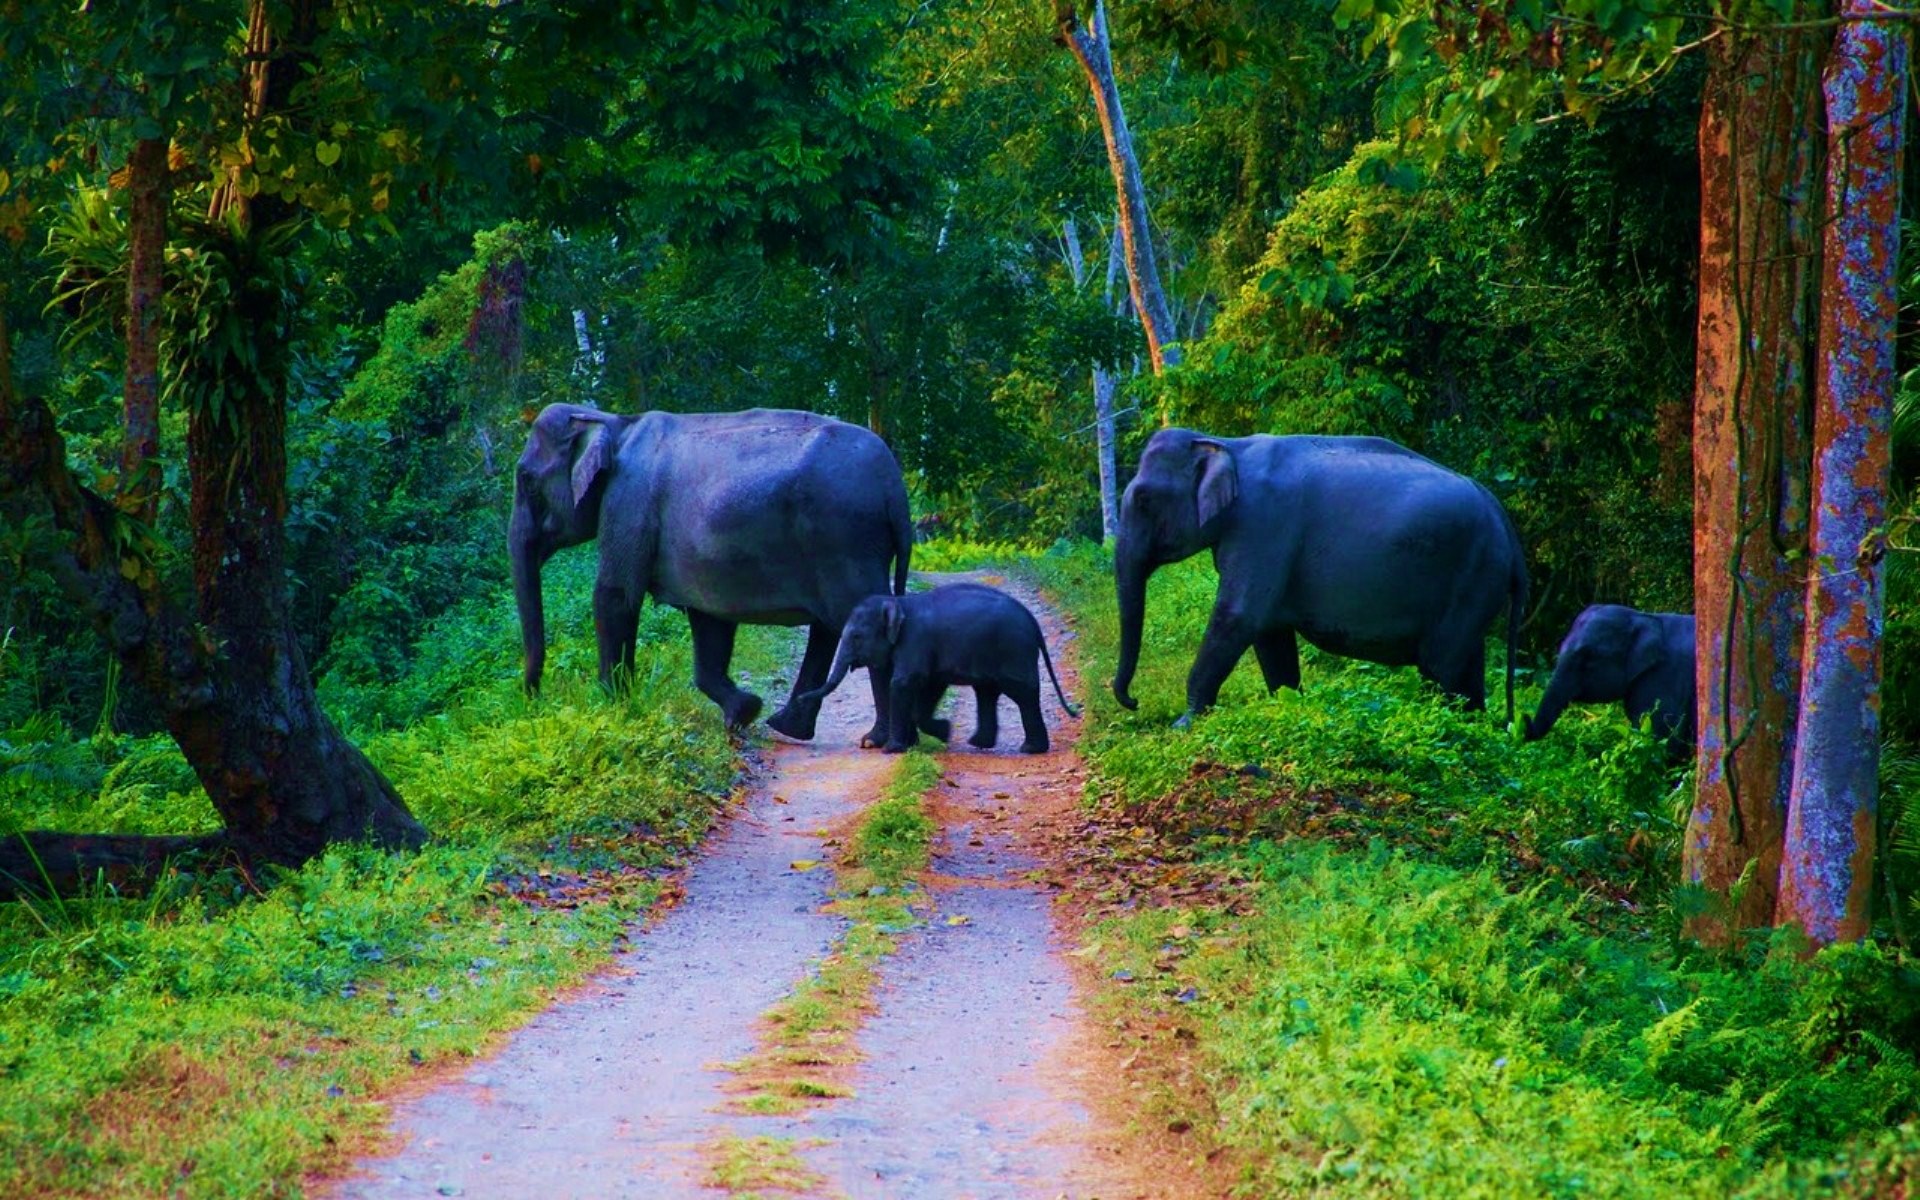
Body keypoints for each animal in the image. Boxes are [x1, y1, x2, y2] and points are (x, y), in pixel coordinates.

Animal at [503, 403, 906, 741]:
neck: (613, 422)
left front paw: (614, 709)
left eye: (526, 480)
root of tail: (894, 487)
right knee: (829, 628)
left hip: (844, 539)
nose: (533, 701)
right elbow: (709, 621)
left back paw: (877, 740)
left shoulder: (628, 501)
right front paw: (744, 712)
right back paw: (787, 727)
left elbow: (615, 596)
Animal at [794, 579, 1082, 748]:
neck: (898, 601)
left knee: (1022, 693)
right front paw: (944, 733)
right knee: (987, 692)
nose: (798, 699)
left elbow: (905, 682)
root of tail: (1034, 623)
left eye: (856, 637)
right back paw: (979, 744)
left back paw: (1030, 749)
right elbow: (932, 684)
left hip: (1013, 651)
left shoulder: (915, 641)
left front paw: (894, 750)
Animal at [1113, 428, 1528, 721]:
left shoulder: (1264, 525)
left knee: (1439, 666)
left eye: (1143, 500)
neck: (1226, 444)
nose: (1133, 701)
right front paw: (1287, 707)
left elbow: (1238, 617)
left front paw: (1184, 723)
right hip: (1479, 587)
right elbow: (1270, 634)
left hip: (1473, 576)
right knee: (1467, 666)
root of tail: (1506, 524)